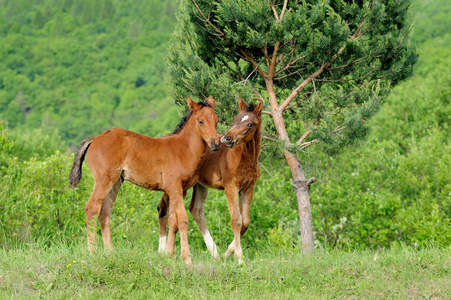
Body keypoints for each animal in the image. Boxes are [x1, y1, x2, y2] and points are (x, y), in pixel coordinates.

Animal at [68, 96, 221, 264]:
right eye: (201, 121)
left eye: (216, 120)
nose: (215, 143)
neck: (184, 148)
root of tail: (94, 139)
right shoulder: (174, 187)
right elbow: (182, 219)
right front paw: (187, 259)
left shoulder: (182, 189)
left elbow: (173, 220)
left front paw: (170, 255)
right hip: (104, 180)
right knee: (91, 208)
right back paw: (93, 253)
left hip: (116, 182)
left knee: (105, 212)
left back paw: (110, 252)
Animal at [160, 97, 264, 264]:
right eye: (235, 119)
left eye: (250, 124)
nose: (227, 138)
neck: (245, 159)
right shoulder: (231, 187)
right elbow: (236, 220)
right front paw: (239, 258)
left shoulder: (248, 188)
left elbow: (245, 222)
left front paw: (227, 253)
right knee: (164, 210)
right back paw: (163, 252)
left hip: (200, 185)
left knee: (195, 209)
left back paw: (215, 254)